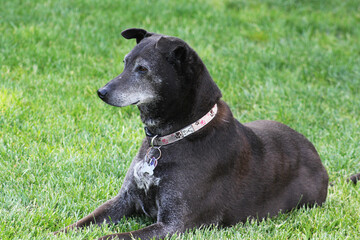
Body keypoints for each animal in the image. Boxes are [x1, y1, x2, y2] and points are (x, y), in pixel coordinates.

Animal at [55, 27, 338, 238]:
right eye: (125, 63)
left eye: (143, 69)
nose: (101, 92)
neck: (172, 137)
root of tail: (316, 155)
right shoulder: (123, 200)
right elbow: (82, 223)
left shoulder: (173, 225)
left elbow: (114, 236)